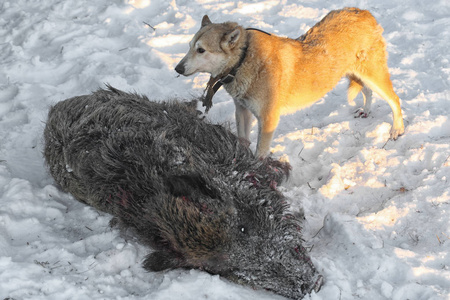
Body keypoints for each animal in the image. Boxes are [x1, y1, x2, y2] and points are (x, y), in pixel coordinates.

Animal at [175, 7, 404, 157]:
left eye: (201, 50)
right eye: (189, 46)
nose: (177, 69)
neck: (244, 59)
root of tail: (364, 12)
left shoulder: (268, 119)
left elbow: (260, 154)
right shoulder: (242, 110)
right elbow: (243, 142)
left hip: (373, 75)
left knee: (394, 99)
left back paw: (397, 130)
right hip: (354, 73)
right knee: (367, 91)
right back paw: (366, 110)